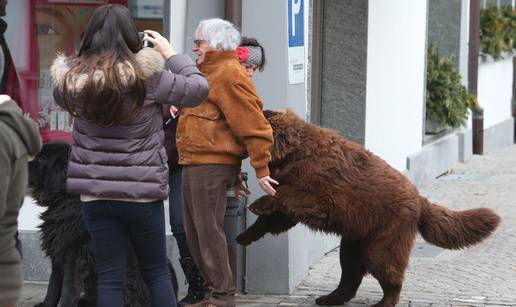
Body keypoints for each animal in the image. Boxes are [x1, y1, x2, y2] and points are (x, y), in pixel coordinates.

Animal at [30, 143, 179, 307]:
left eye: (40, 158)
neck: (65, 200)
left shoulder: (73, 254)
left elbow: (67, 288)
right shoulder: (58, 250)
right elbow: (53, 285)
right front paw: (46, 304)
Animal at [237, 110, 500, 307]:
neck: (295, 153)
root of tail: (419, 198)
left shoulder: (321, 196)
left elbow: (288, 194)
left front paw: (258, 204)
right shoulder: (292, 206)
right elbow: (276, 216)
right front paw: (245, 235)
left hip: (383, 242)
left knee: (389, 274)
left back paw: (383, 303)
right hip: (354, 241)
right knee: (350, 274)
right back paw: (330, 298)